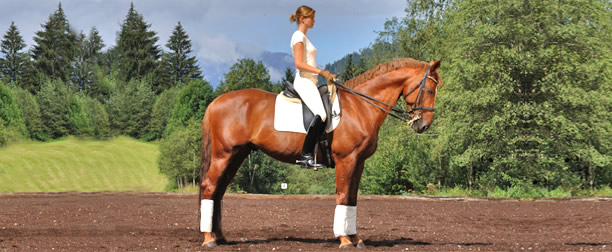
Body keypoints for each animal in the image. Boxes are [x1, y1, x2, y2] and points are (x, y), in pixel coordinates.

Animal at [198, 57, 442, 248]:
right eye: (430, 90)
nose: (423, 125)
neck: (360, 105)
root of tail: (215, 102)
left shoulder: (359, 162)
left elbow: (352, 198)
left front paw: (355, 238)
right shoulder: (347, 160)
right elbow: (343, 195)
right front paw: (344, 240)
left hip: (237, 155)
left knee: (218, 191)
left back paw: (219, 236)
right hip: (224, 155)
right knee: (210, 187)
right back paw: (209, 239)